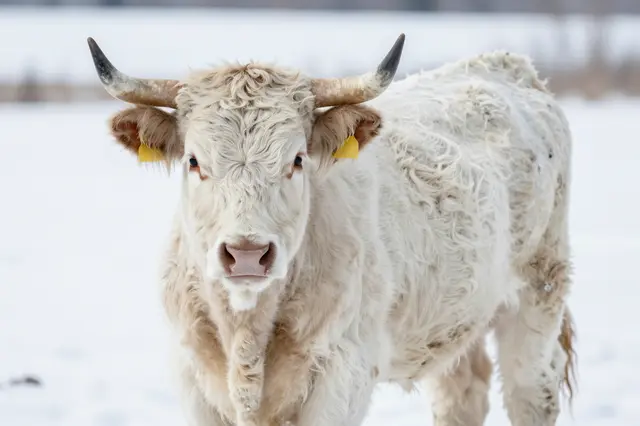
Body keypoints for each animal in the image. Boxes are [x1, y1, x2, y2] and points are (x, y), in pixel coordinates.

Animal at [86, 33, 577, 426]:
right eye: (194, 160)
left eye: (297, 159)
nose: (247, 253)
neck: (247, 335)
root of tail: (508, 64)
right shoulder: (194, 380)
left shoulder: (342, 377)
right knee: (462, 394)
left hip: (539, 289)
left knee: (531, 389)